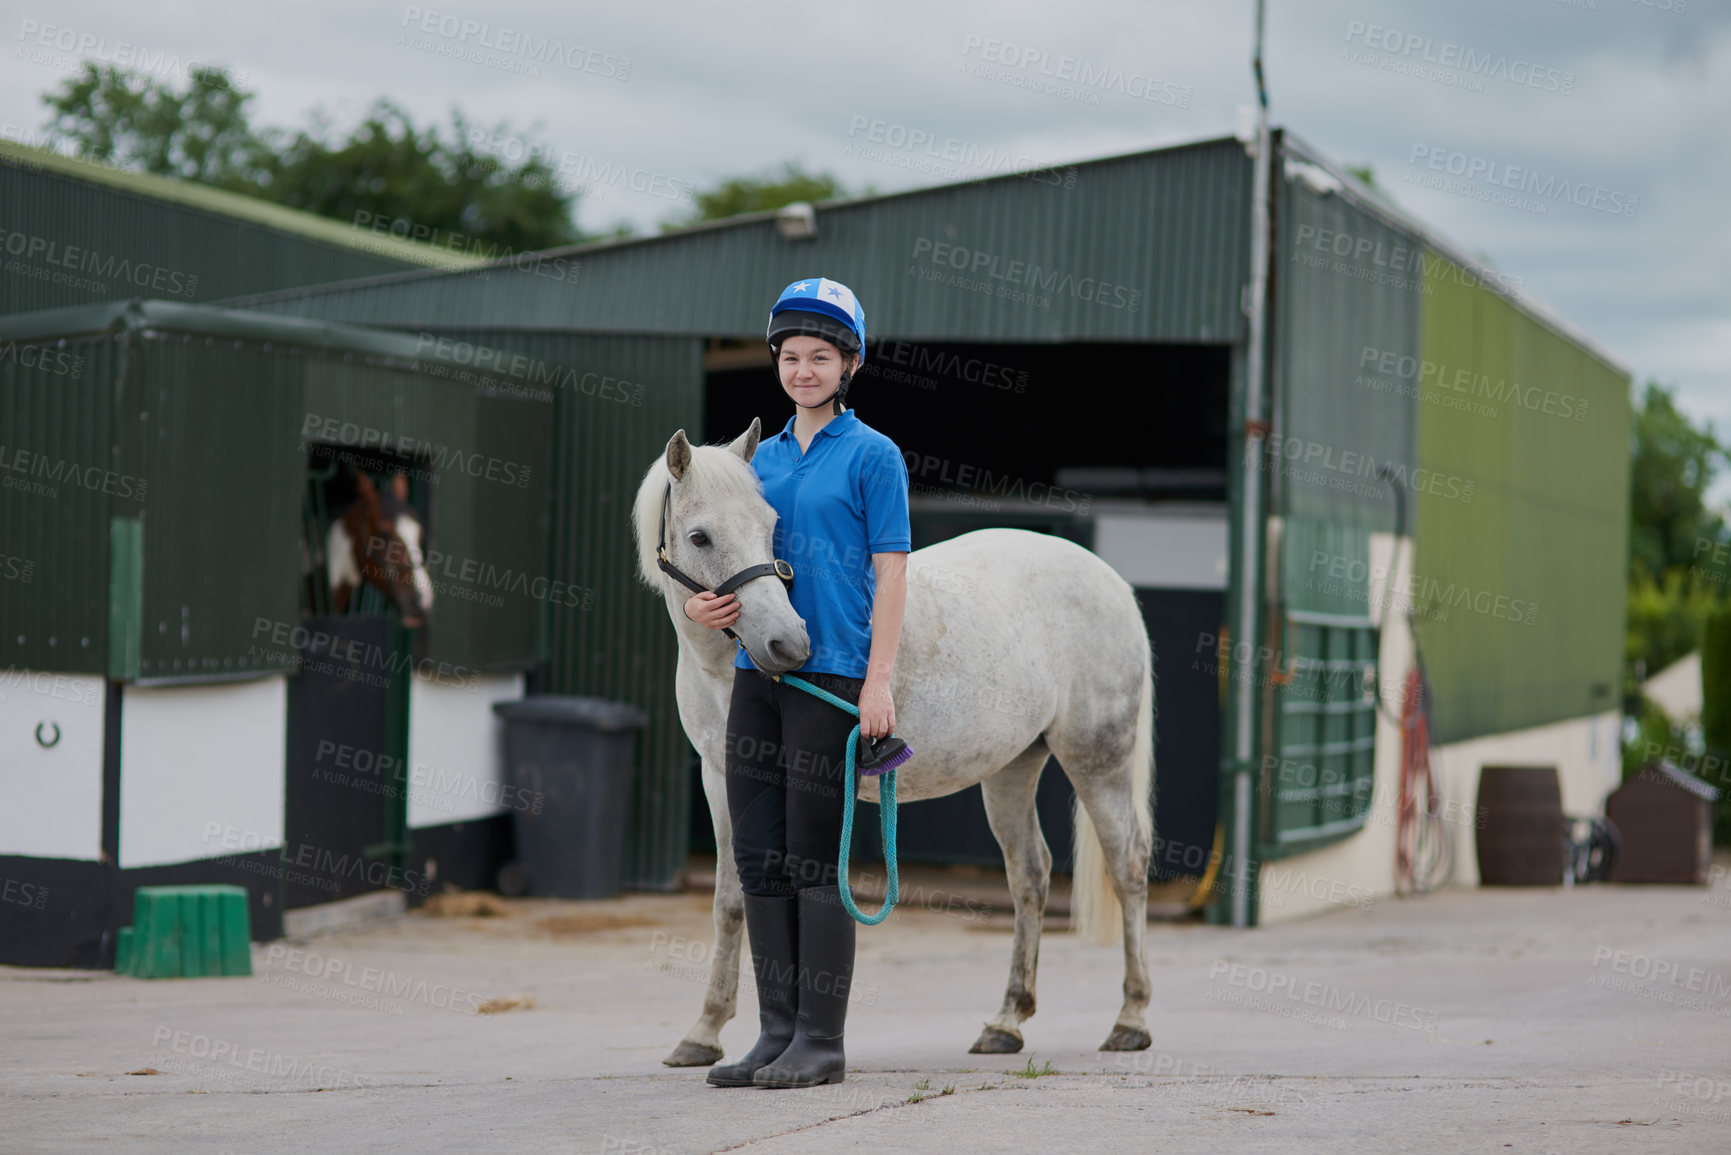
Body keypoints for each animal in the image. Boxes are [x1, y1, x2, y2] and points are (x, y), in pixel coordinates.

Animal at [633, 420, 1149, 1059]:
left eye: (769, 524)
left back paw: (1131, 1019)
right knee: (1030, 875)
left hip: (1098, 761)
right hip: (1012, 769)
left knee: (1127, 868)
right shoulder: (722, 777)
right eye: (700, 537)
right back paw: (1006, 1021)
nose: (787, 644)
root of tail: (1111, 581)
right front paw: (704, 1033)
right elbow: (731, 901)